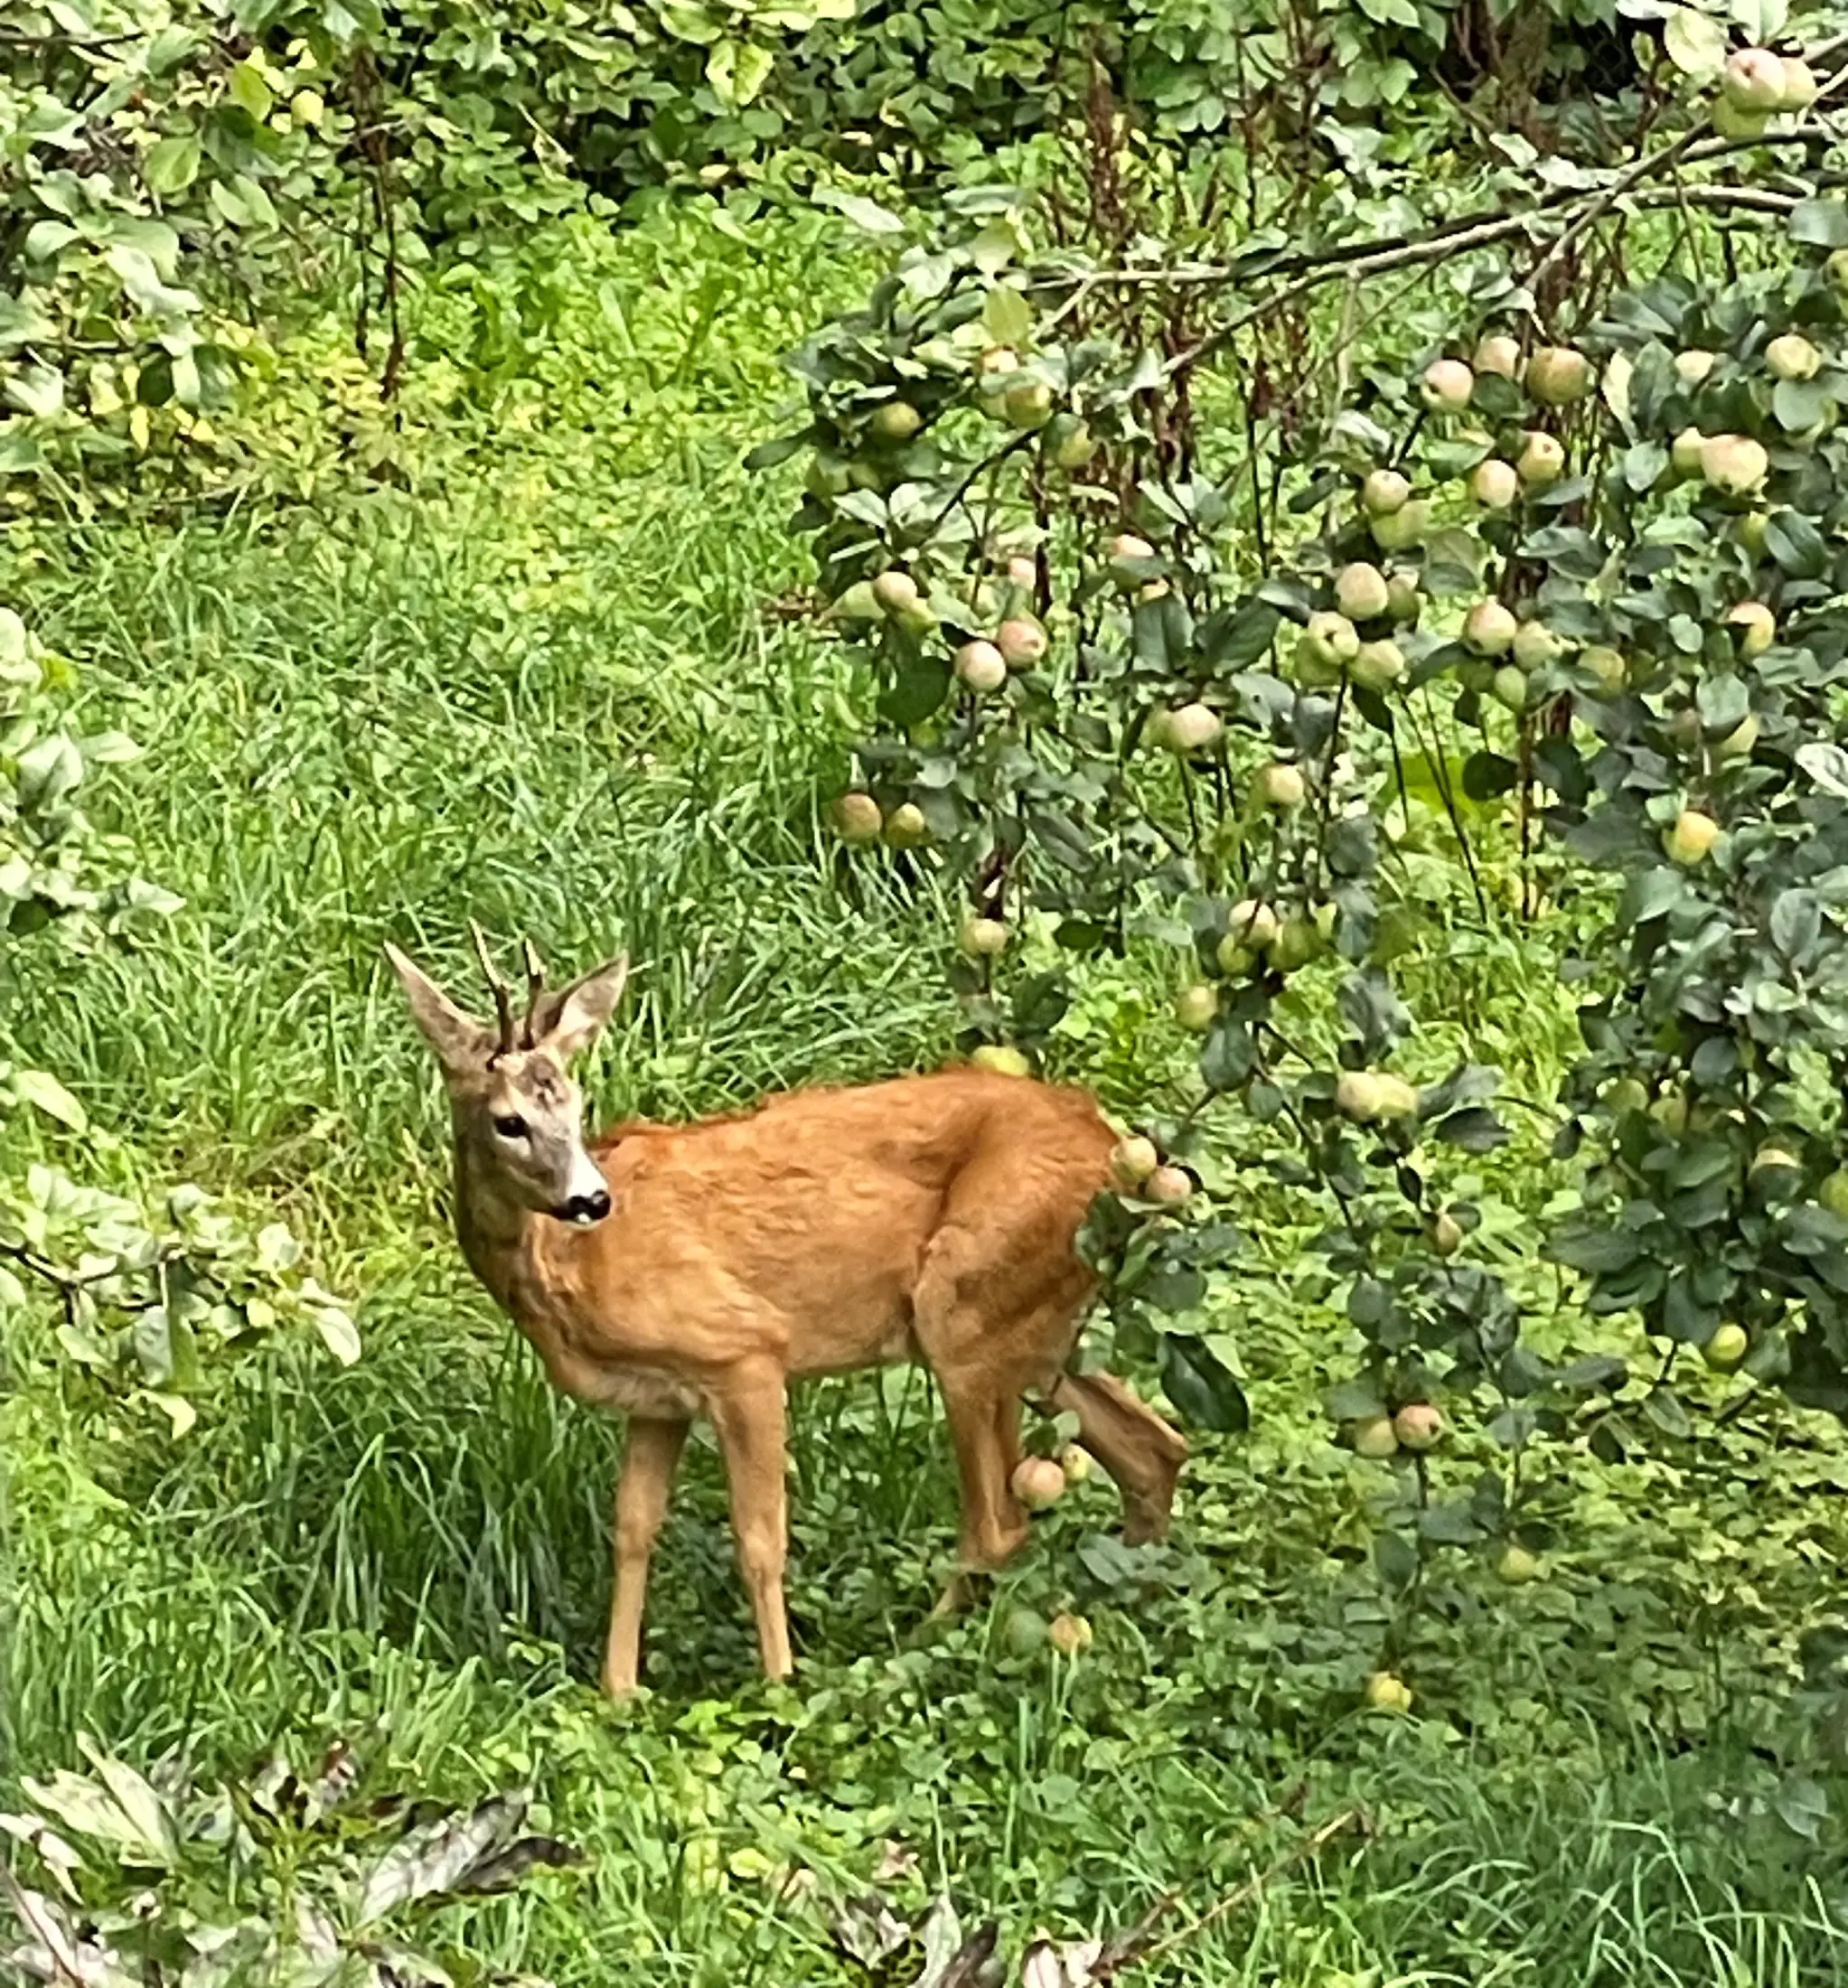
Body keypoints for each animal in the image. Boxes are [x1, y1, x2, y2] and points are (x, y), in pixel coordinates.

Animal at [383, 930, 1192, 1693]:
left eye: (576, 1107)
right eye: (508, 1121)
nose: (590, 1198)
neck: (575, 1268)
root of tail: (1114, 1146)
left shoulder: (743, 1350)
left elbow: (760, 1539)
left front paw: (779, 1683)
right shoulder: (657, 1400)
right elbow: (633, 1529)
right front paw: (618, 1689)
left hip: (960, 1310)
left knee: (1000, 1521)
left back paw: (914, 1651)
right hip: (1035, 1323)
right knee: (1153, 1448)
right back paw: (1136, 1608)